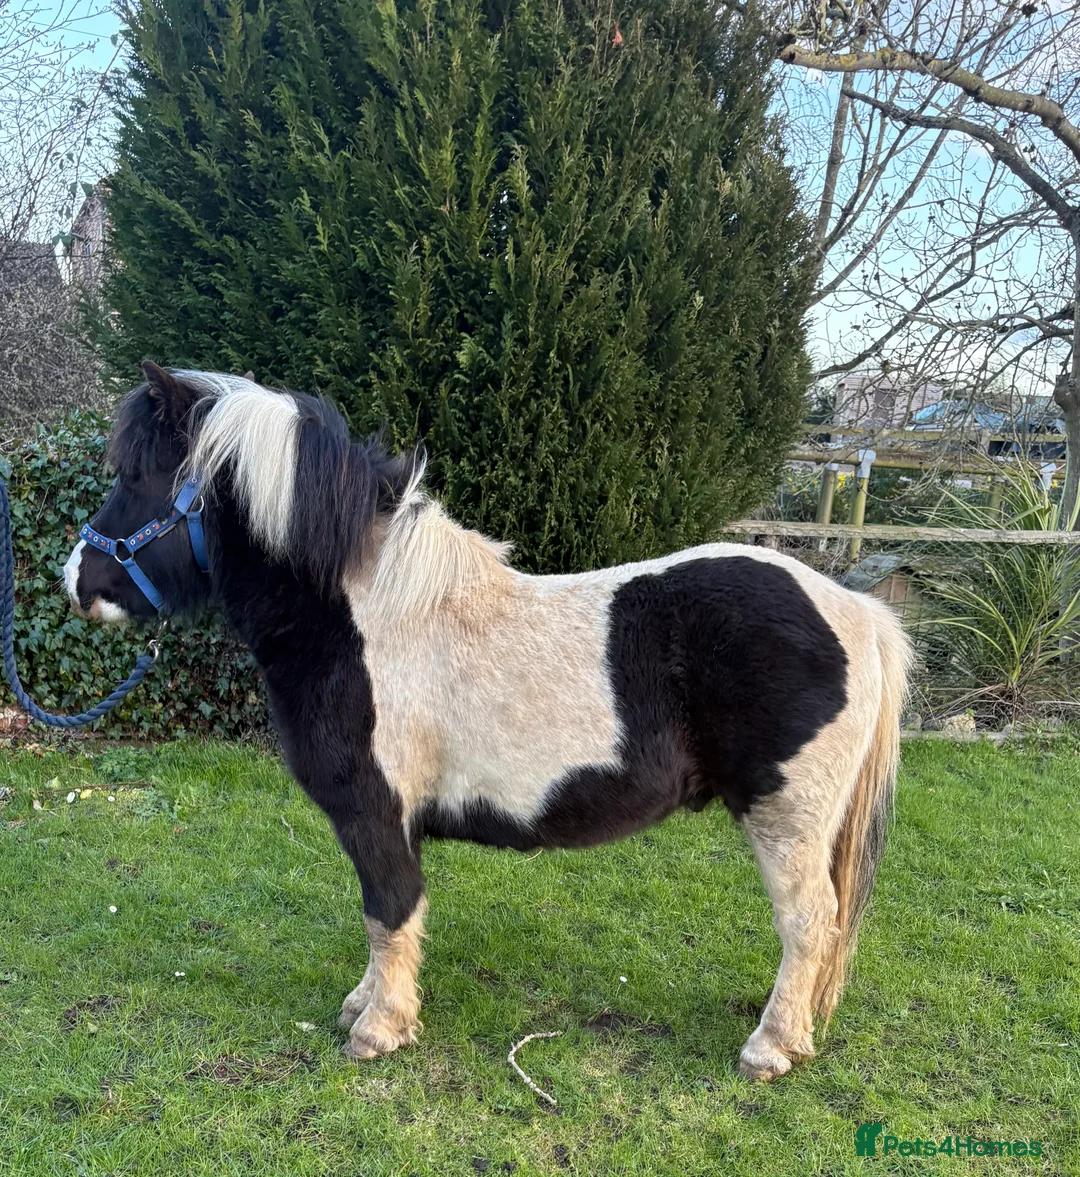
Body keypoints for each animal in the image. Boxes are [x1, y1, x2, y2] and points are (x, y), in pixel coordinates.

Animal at [65, 362, 911, 1081]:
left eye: (135, 476)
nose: (78, 581)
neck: (367, 618)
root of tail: (856, 610)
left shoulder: (376, 814)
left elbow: (389, 910)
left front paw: (381, 1027)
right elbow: (384, 916)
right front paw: (363, 1003)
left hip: (788, 819)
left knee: (809, 923)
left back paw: (771, 1046)